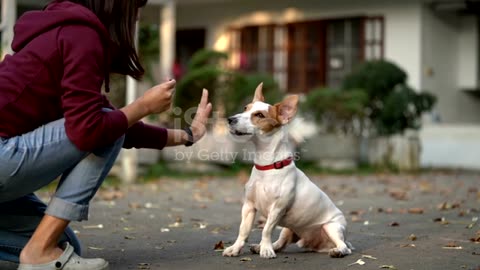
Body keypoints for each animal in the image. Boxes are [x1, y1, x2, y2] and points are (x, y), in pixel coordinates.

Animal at [222, 84, 352, 260]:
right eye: (245, 108)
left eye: (259, 115)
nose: (230, 119)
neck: (267, 166)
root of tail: (315, 244)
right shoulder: (248, 206)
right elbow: (243, 230)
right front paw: (236, 249)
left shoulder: (277, 209)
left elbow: (266, 229)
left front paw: (266, 249)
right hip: (287, 229)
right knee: (281, 244)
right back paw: (262, 246)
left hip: (332, 228)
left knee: (344, 246)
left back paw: (338, 251)